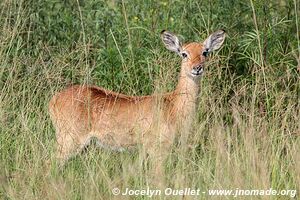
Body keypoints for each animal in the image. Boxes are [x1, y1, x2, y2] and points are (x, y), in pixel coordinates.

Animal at [48, 29, 225, 167]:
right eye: (184, 53)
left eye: (205, 52)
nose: (197, 68)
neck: (174, 105)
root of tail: (53, 100)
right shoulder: (157, 150)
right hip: (69, 140)